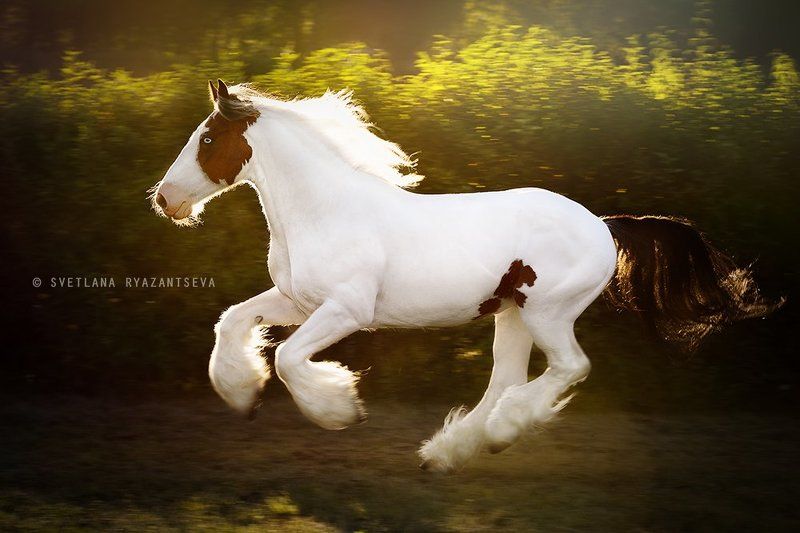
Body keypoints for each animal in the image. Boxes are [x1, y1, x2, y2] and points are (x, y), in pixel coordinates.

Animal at [151, 79, 780, 473]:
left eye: (207, 139)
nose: (164, 200)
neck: (323, 210)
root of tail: (603, 225)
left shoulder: (345, 311)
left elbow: (286, 358)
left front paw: (340, 410)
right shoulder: (298, 301)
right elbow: (232, 321)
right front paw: (242, 396)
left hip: (548, 313)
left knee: (568, 368)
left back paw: (498, 434)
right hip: (513, 315)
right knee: (504, 380)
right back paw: (445, 454)